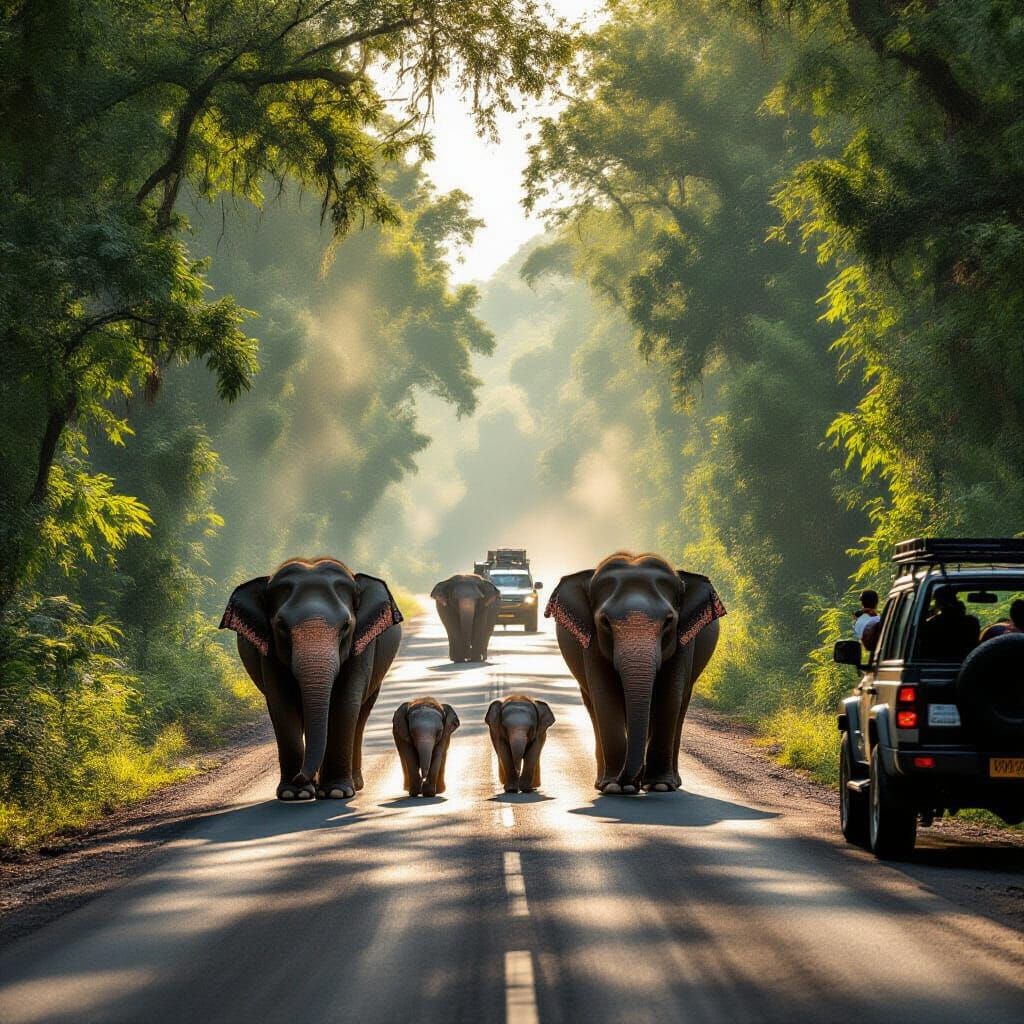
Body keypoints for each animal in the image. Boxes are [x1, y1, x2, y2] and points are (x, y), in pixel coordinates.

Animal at [220, 557, 403, 801]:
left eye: (346, 626)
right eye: (281, 625)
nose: (301, 777)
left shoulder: (363, 645)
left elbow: (345, 702)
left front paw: (336, 792)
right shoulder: (268, 650)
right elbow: (282, 703)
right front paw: (294, 793)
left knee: (361, 715)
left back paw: (353, 783)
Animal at [545, 551, 725, 795]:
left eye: (669, 621)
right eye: (605, 621)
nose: (630, 782)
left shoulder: (684, 640)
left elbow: (670, 695)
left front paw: (659, 785)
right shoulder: (591, 642)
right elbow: (605, 696)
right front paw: (614, 786)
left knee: (681, 705)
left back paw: (670, 782)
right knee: (592, 705)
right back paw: (602, 782)